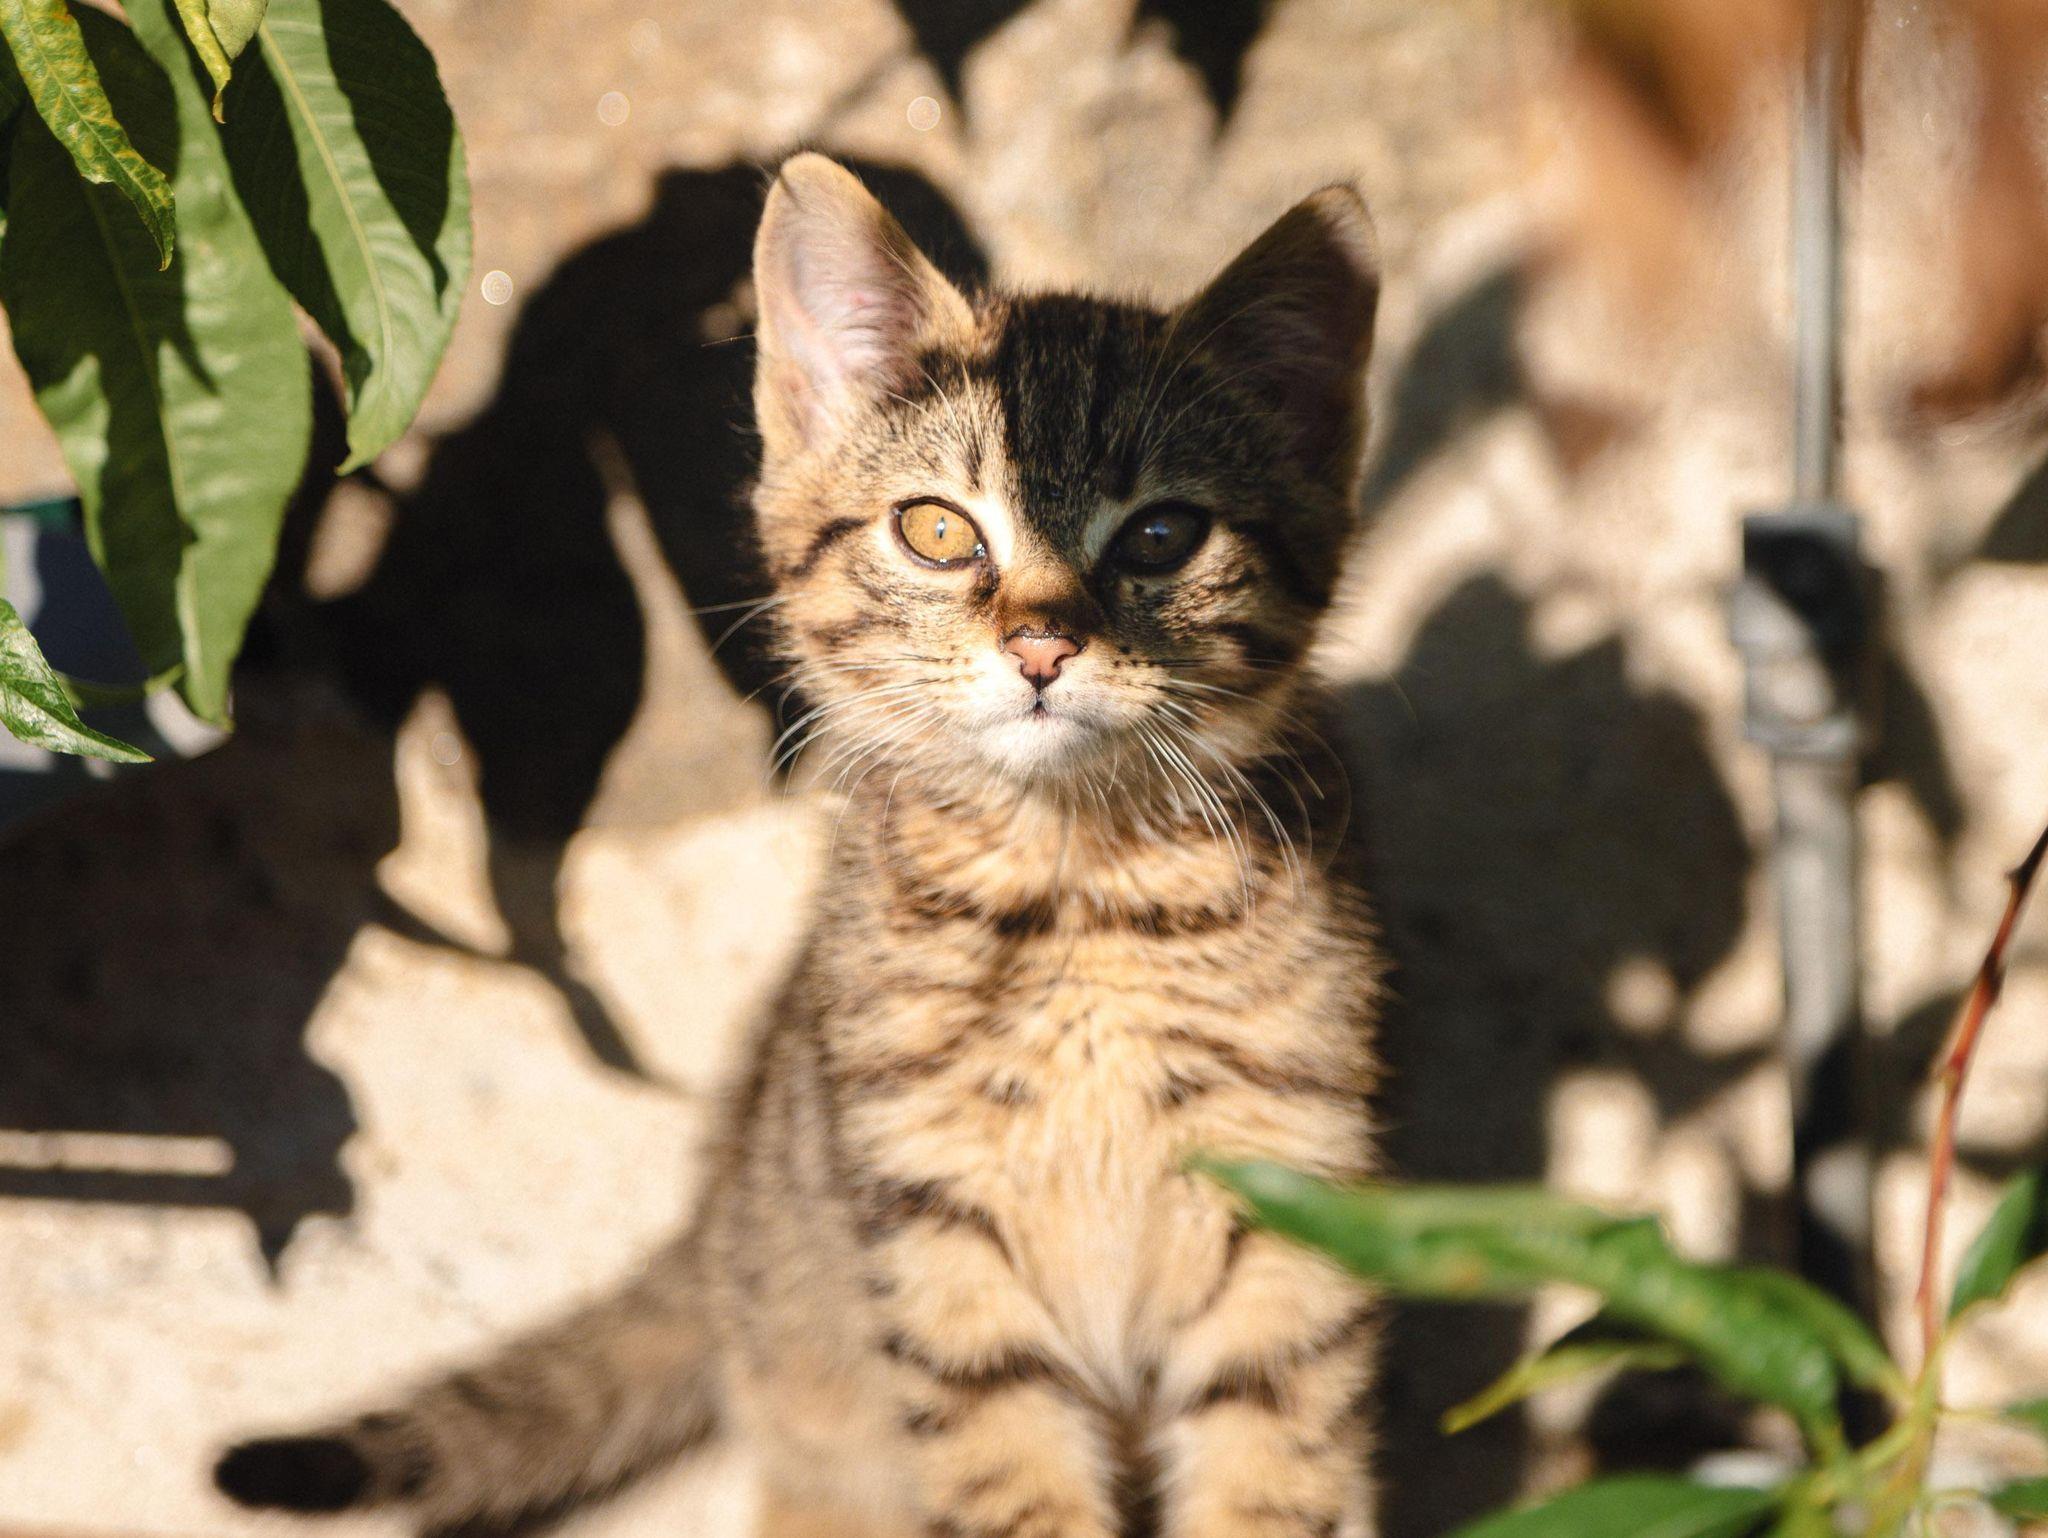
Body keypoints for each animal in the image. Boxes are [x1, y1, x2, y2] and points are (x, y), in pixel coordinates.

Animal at [215, 152, 1386, 1538]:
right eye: (937, 530)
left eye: (1160, 536)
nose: (1042, 645)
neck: (1077, 889)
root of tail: (717, 1208)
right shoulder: (935, 1242)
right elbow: (1014, 1486)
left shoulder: (1293, 1212)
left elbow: (1275, 1477)